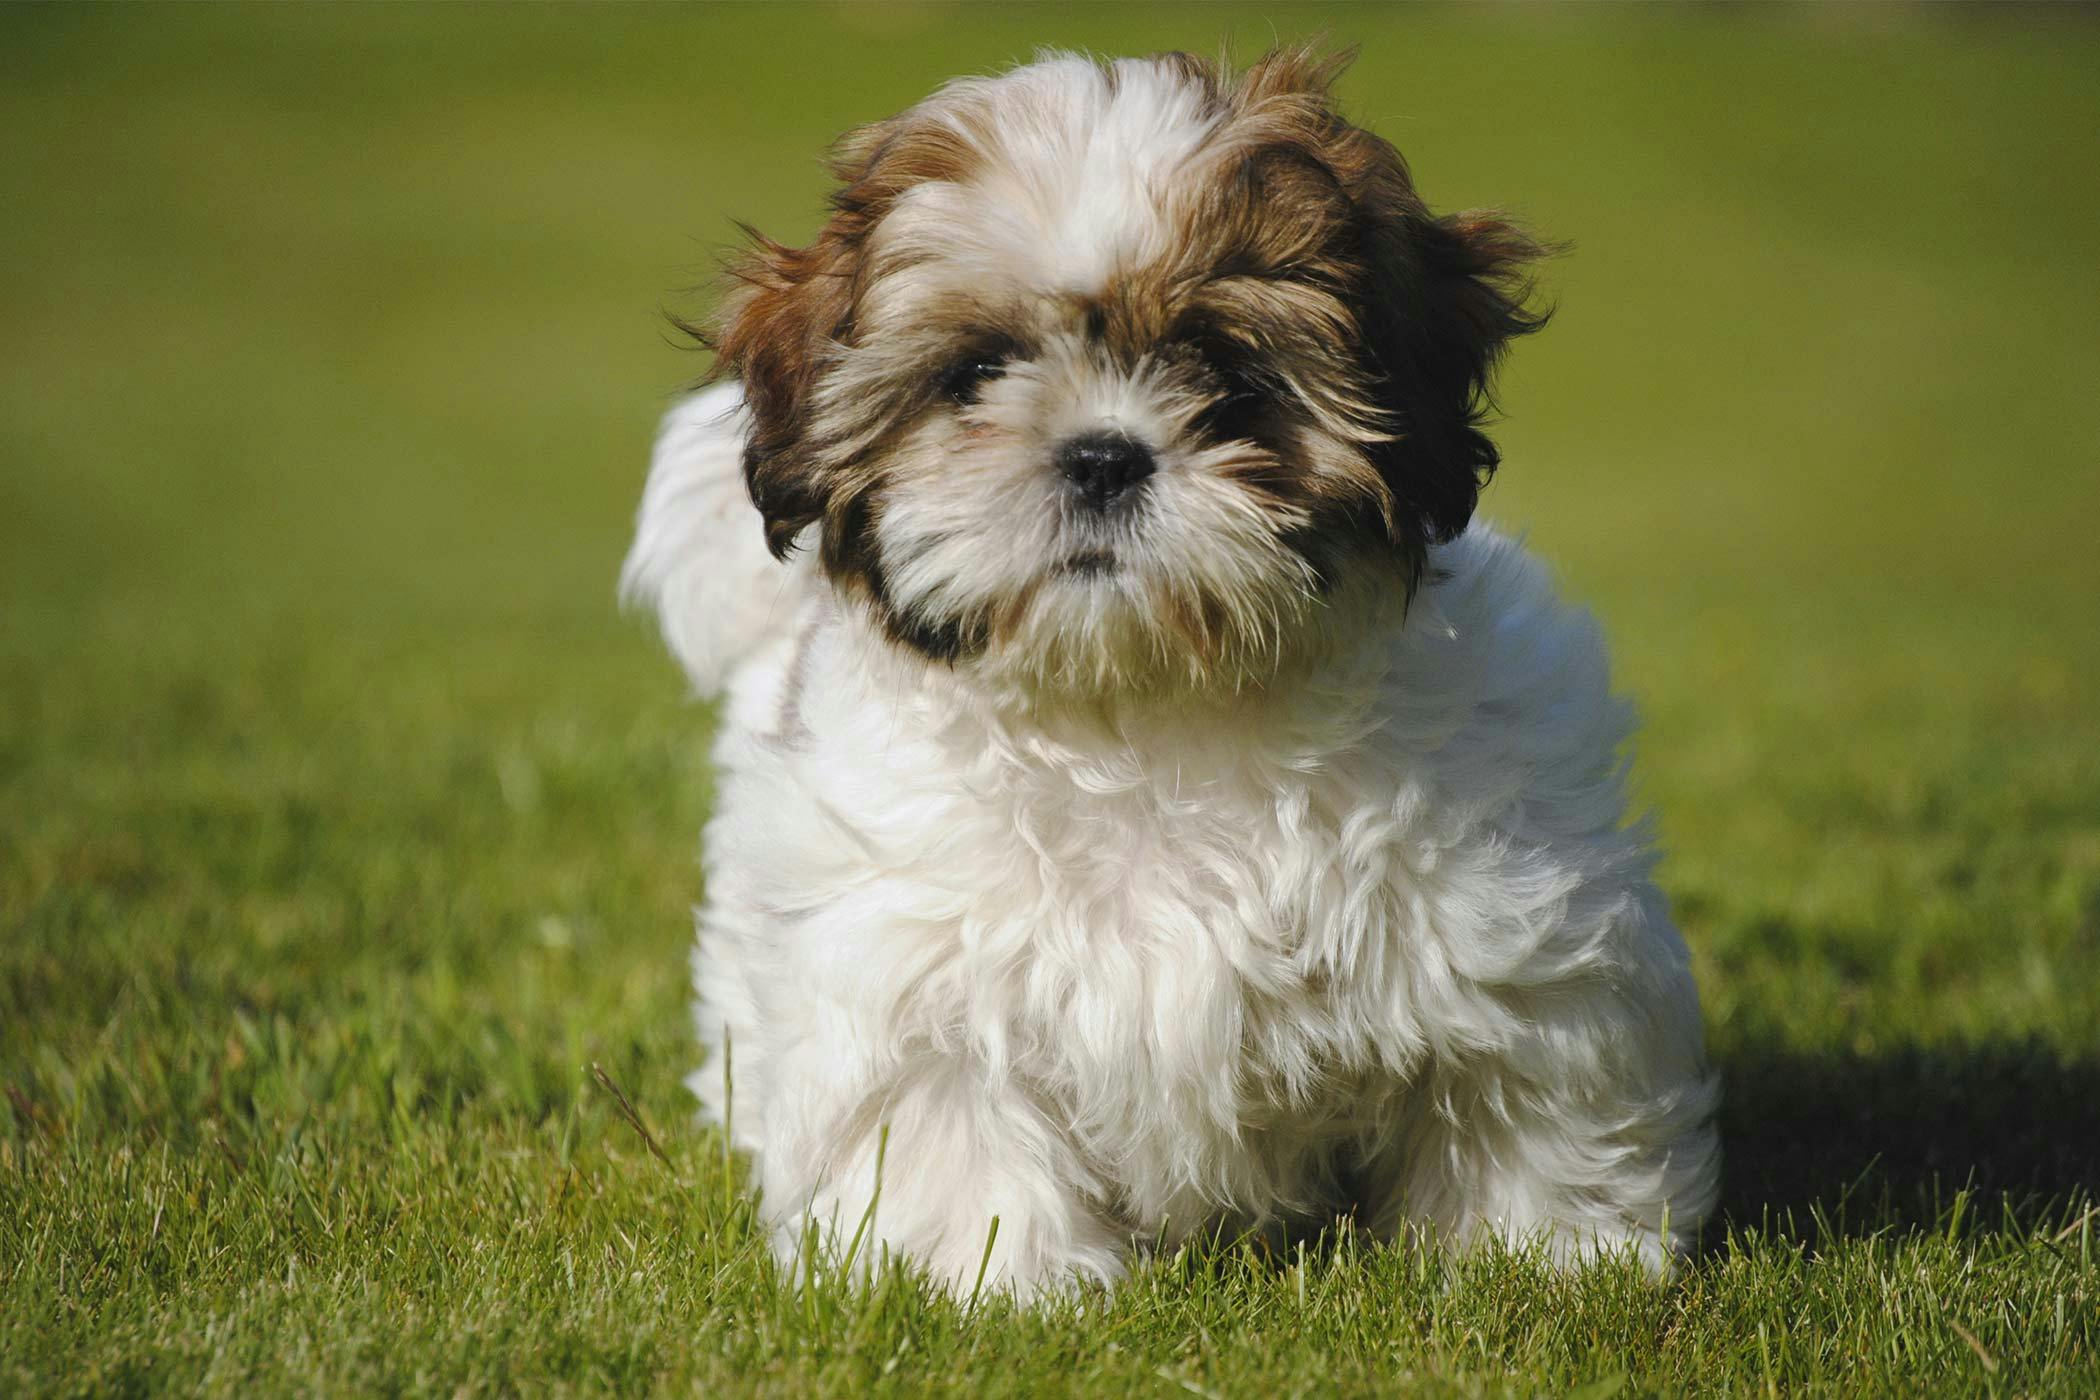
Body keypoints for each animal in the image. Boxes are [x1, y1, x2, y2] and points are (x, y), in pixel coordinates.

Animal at [621, 43, 1721, 1301]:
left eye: (1229, 371)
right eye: (978, 370)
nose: (1102, 455)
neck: (1144, 708)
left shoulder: (1507, 929)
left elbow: (1522, 1086)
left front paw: (1543, 1258)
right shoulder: (912, 969)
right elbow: (952, 1121)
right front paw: (989, 1284)